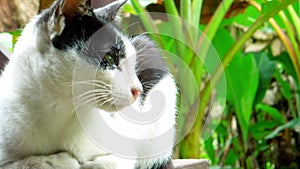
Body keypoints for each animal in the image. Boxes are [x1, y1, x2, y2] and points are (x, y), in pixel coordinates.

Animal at [0, 0, 178, 169]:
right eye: (109, 58)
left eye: (133, 64)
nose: (138, 90)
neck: (60, 110)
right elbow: (22, 163)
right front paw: (57, 161)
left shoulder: (125, 150)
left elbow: (112, 161)